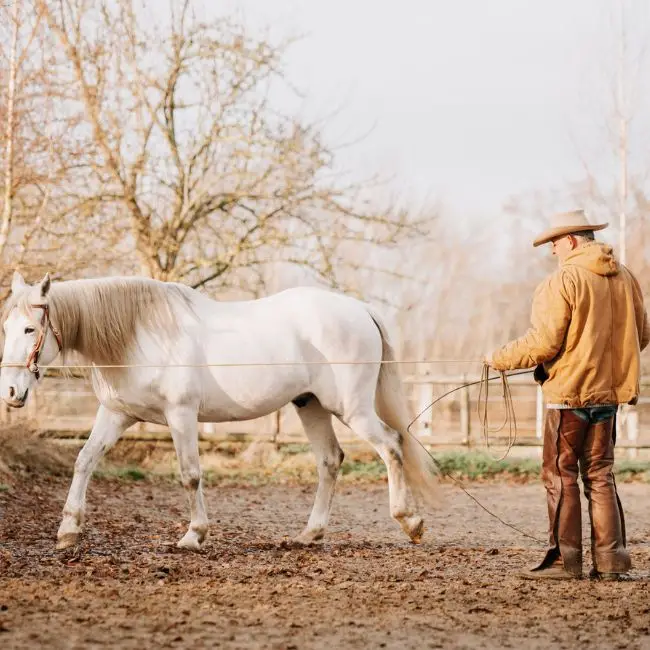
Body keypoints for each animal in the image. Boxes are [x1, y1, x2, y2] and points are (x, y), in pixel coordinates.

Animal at [1, 271, 439, 550]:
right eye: (6, 328)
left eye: (29, 329)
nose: (11, 392)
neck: (140, 335)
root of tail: (360, 309)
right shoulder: (116, 414)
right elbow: (84, 460)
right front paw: (67, 531)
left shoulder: (180, 415)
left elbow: (190, 474)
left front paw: (194, 535)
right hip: (310, 406)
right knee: (331, 460)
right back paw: (309, 535)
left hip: (352, 409)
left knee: (392, 446)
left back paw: (410, 521)